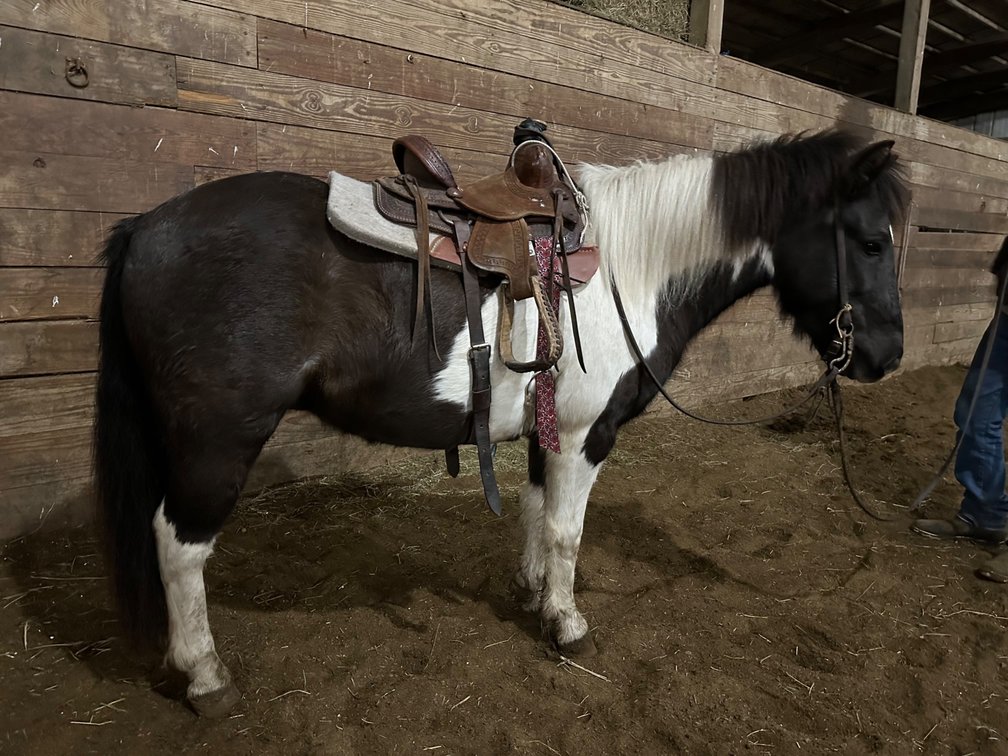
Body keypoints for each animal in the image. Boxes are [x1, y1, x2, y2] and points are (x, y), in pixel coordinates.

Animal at [93, 129, 909, 716]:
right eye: (871, 242)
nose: (887, 356)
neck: (633, 266)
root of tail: (147, 227)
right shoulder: (586, 434)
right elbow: (567, 529)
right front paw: (567, 623)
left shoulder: (550, 431)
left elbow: (534, 508)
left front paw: (531, 590)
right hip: (217, 441)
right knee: (178, 546)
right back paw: (207, 678)